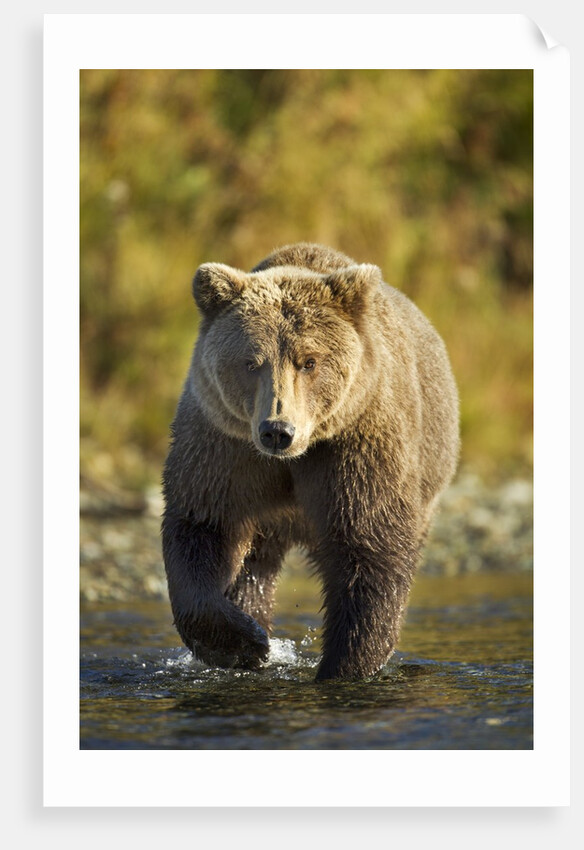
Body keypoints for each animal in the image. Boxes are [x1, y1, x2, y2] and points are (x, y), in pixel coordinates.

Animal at [162, 242, 459, 681]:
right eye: (251, 362)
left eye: (309, 361)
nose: (277, 430)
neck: (295, 457)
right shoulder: (224, 446)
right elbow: (202, 525)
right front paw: (244, 643)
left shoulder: (355, 447)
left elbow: (370, 547)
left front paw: (344, 665)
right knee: (255, 567)